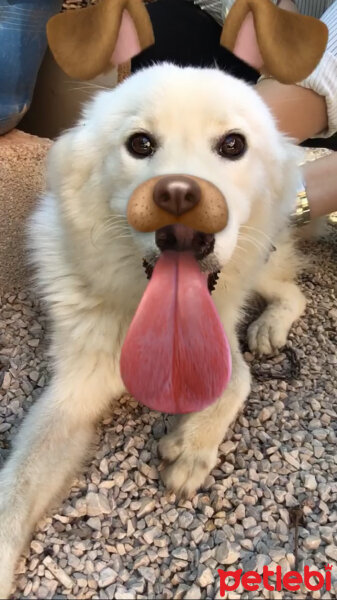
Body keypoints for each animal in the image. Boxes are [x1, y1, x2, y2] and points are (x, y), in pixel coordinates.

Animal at [0, 62, 304, 596]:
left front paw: (192, 448)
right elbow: (16, 488)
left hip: (260, 259)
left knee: (292, 291)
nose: (183, 222)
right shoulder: (71, 397)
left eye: (233, 144)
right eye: (140, 143)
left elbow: (238, 378)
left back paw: (269, 327)